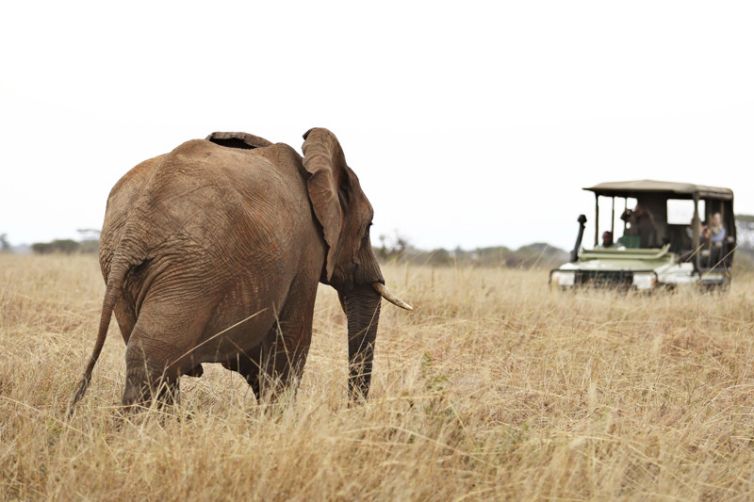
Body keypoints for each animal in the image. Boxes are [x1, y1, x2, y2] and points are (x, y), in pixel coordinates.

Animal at [68, 127, 411, 414]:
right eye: (369, 226)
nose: (352, 410)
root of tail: (135, 228)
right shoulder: (307, 253)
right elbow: (292, 344)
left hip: (130, 266)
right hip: (191, 269)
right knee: (152, 356)